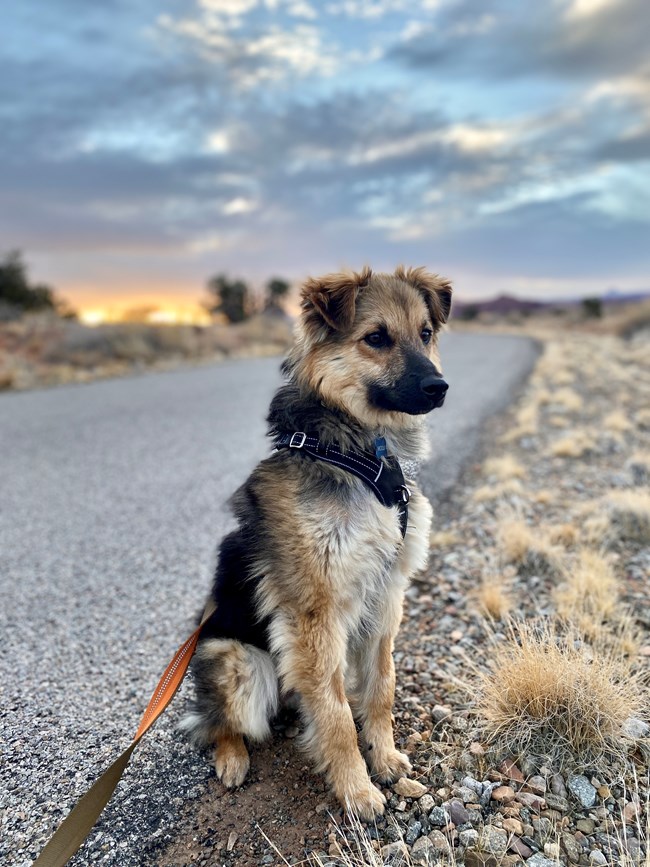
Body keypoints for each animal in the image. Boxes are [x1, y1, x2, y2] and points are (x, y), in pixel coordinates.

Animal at [180, 264, 448, 820]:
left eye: (426, 333)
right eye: (376, 338)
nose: (439, 387)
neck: (363, 458)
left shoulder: (386, 595)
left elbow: (381, 687)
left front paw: (384, 758)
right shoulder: (315, 615)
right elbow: (335, 714)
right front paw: (357, 790)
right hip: (239, 661)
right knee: (219, 723)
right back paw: (232, 759)